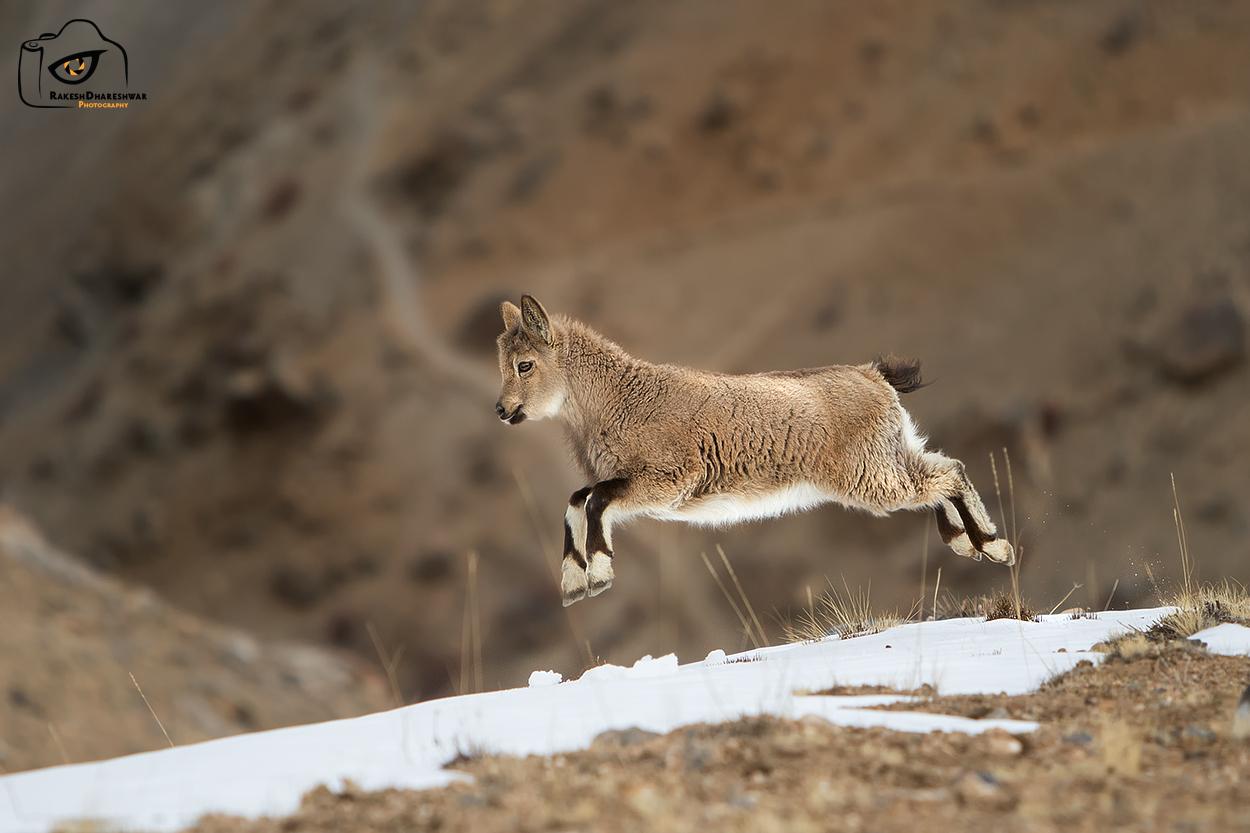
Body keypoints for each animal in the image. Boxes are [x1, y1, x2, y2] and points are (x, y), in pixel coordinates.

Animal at [495, 295, 1014, 606]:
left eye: (525, 364)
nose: (502, 409)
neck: (616, 398)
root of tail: (874, 376)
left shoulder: (670, 479)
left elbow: (594, 500)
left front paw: (599, 573)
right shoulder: (635, 484)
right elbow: (578, 499)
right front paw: (573, 582)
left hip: (868, 473)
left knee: (946, 474)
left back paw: (992, 544)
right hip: (889, 453)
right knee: (944, 466)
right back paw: (971, 542)